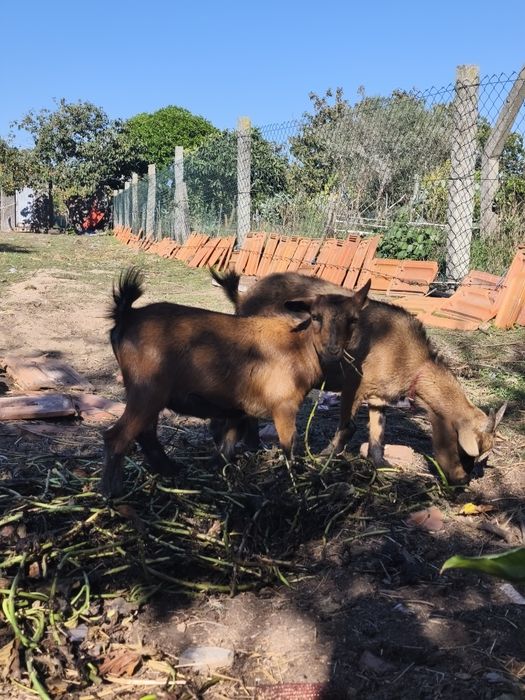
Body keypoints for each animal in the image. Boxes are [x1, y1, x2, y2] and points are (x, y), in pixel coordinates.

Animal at [101, 268, 370, 497]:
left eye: (354, 319)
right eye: (315, 317)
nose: (332, 350)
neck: (298, 347)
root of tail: (127, 316)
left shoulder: (238, 409)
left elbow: (226, 447)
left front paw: (223, 474)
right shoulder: (284, 406)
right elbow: (288, 447)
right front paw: (293, 485)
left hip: (149, 394)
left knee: (145, 434)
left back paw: (170, 470)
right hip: (146, 391)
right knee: (117, 436)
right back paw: (111, 493)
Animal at [211, 270, 506, 485]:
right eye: (464, 450)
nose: (462, 480)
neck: (409, 357)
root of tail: (243, 299)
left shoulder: (379, 396)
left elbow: (378, 433)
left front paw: (381, 465)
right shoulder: (354, 384)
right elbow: (348, 427)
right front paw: (324, 457)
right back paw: (249, 444)